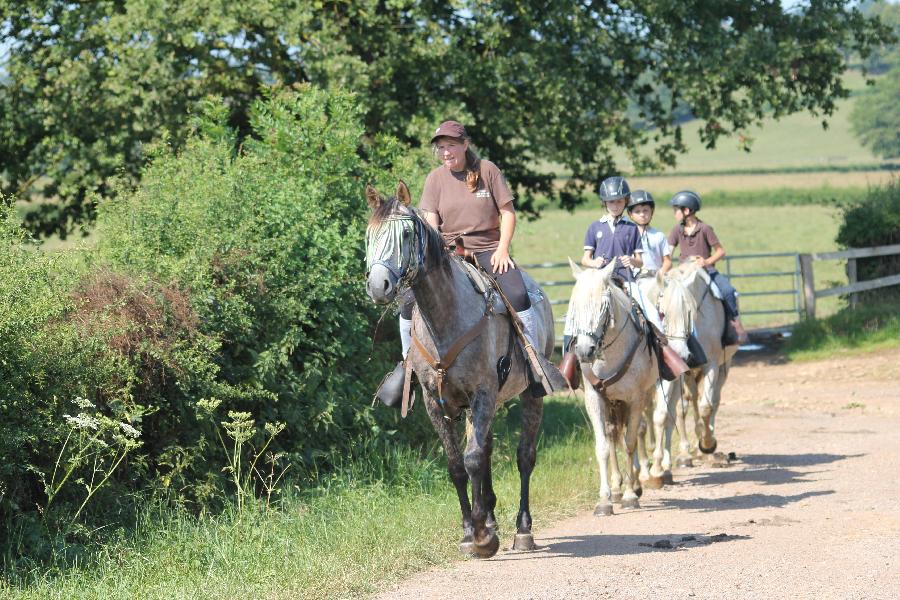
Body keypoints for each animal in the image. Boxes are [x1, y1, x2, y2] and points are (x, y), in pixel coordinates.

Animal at [362, 182, 560, 556]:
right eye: (370, 235)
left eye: (406, 234)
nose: (378, 285)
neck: (447, 319)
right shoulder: (434, 402)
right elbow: (458, 464)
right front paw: (471, 530)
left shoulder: (482, 394)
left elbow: (473, 460)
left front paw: (483, 536)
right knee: (487, 451)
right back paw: (492, 518)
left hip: (529, 395)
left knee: (524, 456)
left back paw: (522, 530)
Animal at [568, 260, 660, 512]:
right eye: (573, 305)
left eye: (604, 305)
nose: (585, 351)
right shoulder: (595, 399)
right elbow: (602, 446)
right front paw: (605, 499)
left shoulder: (635, 398)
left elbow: (629, 443)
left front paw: (630, 495)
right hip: (612, 403)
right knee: (612, 435)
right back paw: (618, 487)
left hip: (645, 394)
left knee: (639, 429)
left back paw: (636, 482)